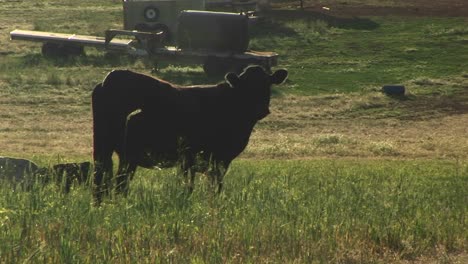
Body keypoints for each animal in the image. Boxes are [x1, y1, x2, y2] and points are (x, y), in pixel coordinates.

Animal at [91, 65, 288, 202]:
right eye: (246, 87)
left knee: (104, 180)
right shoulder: (206, 158)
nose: (261, 109)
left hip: (107, 150)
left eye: (267, 84)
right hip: (125, 154)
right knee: (117, 183)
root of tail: (110, 78)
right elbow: (197, 186)